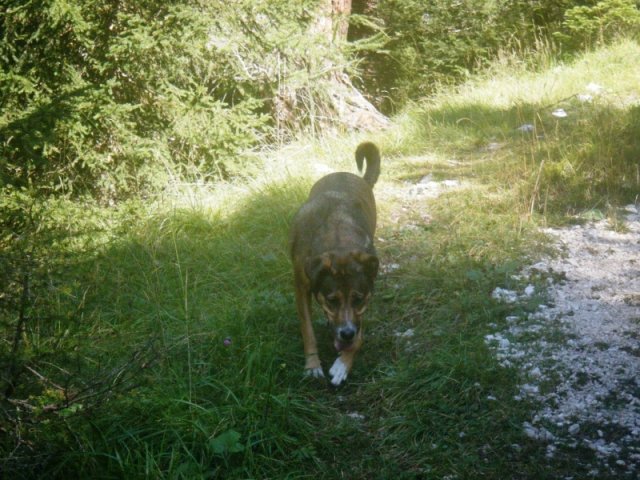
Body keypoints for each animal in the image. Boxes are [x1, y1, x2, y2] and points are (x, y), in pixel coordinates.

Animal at [290, 142, 380, 386]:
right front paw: (312, 365)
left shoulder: (363, 303)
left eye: (358, 299)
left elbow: (360, 333)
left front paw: (343, 364)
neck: (338, 239)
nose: (346, 334)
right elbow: (307, 330)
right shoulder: (301, 286)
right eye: (332, 299)